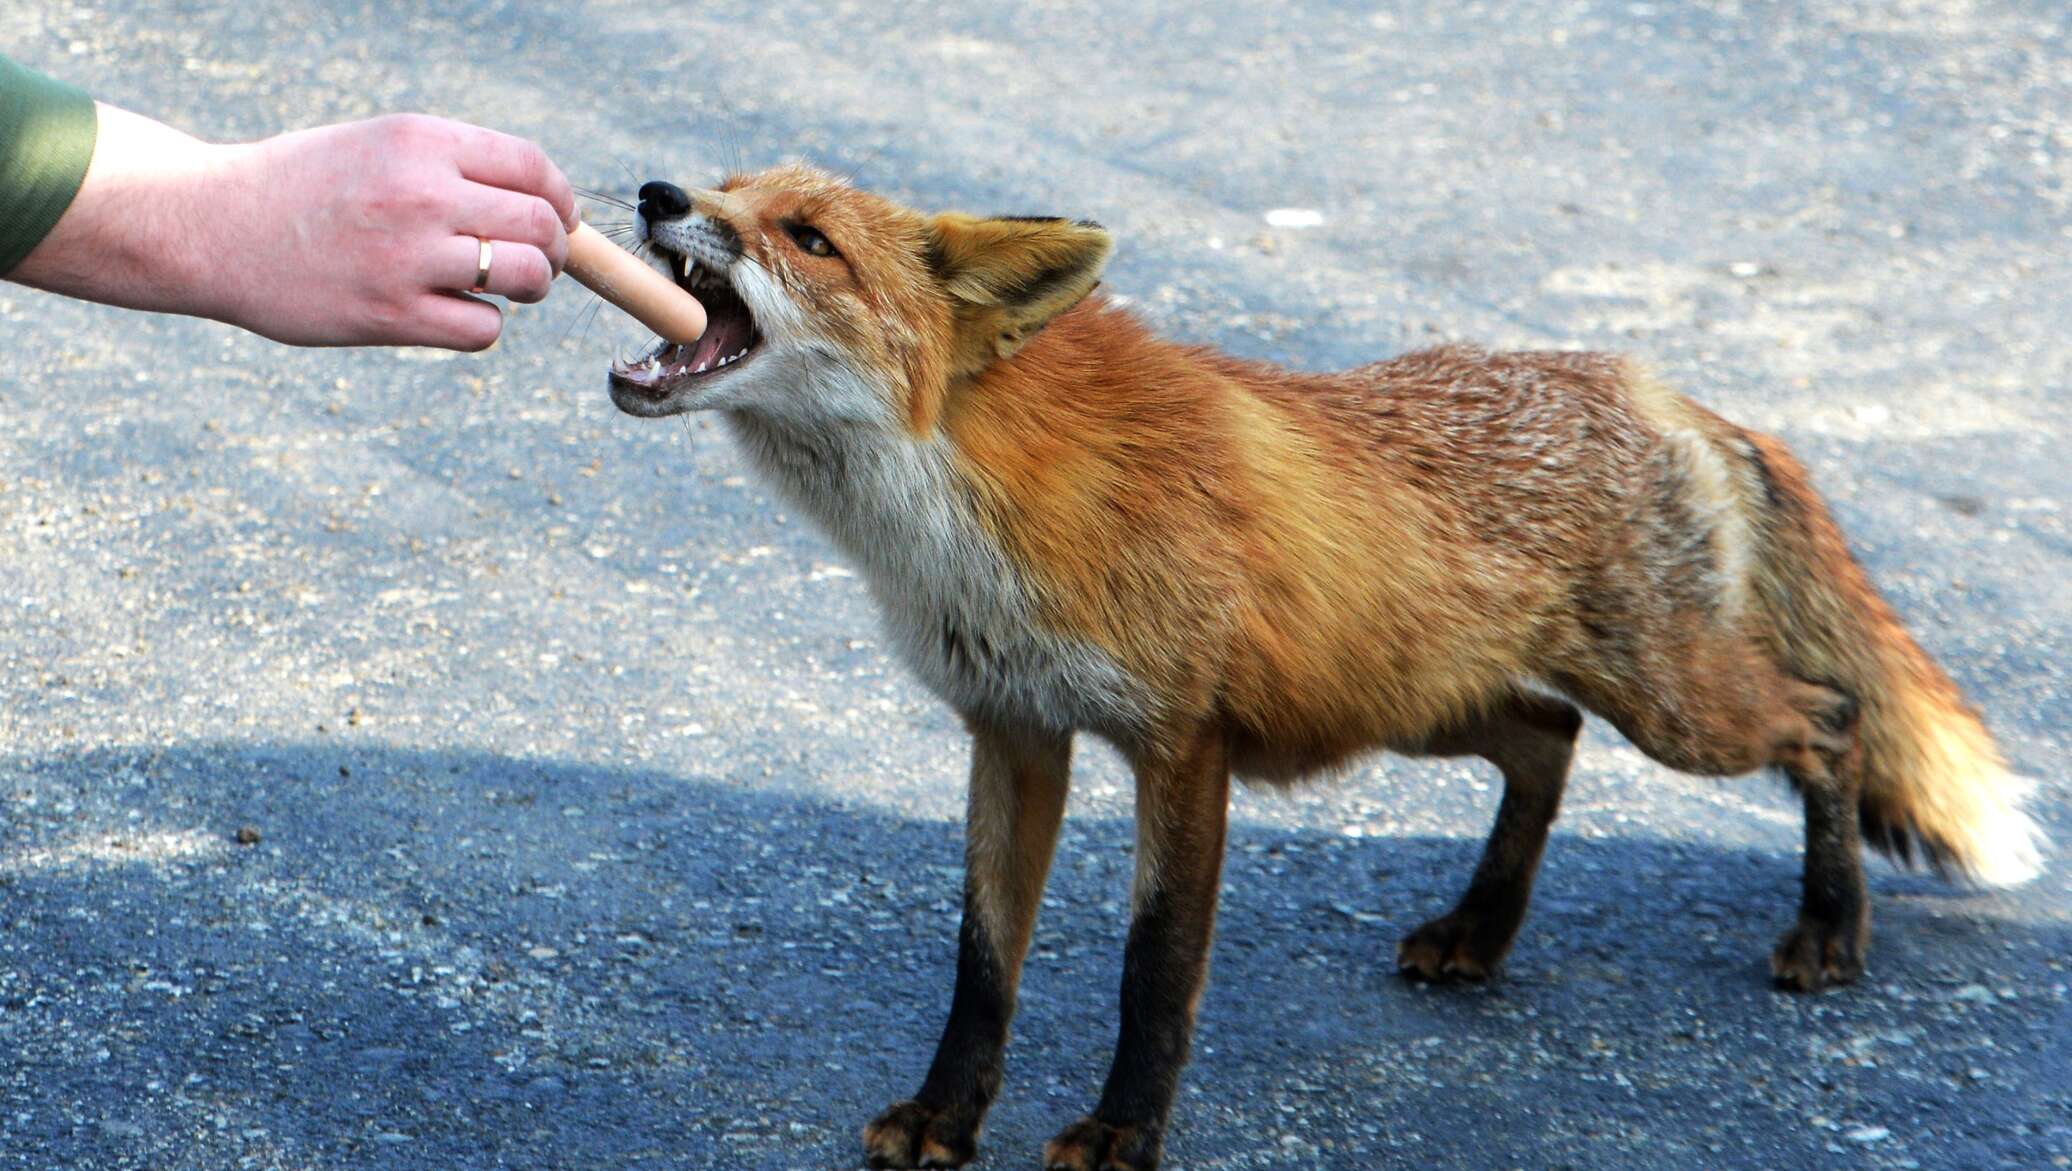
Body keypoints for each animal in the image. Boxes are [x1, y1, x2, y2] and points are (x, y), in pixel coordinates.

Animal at [596, 164, 2038, 1168]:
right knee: (1547, 738)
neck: (966, 511)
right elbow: (981, 963)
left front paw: (1122, 1134)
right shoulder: (1013, 729)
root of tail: (1667, 391)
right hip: (1420, 702)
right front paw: (945, 1116)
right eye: (727, 185)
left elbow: (1153, 969)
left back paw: (1830, 923)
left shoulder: (1182, 742)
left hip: (1673, 705)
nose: (657, 193)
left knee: (1827, 718)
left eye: (808, 237)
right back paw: (1481, 927)